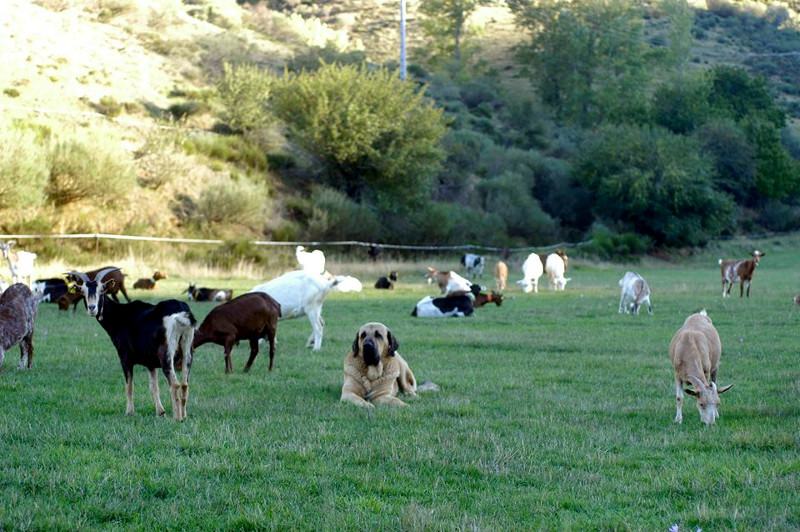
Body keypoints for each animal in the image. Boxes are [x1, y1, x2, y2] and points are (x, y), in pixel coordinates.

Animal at [70, 266, 198, 420]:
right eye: (83, 291)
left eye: (102, 290)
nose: (92, 308)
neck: (119, 316)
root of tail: (180, 313)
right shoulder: (150, 363)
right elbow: (153, 387)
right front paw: (160, 412)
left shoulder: (125, 357)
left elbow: (129, 386)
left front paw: (129, 412)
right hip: (187, 351)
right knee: (184, 383)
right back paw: (184, 416)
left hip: (166, 354)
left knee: (175, 384)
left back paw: (177, 418)